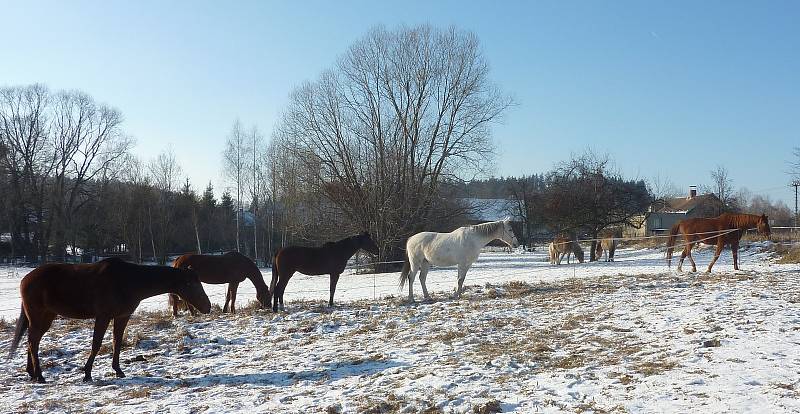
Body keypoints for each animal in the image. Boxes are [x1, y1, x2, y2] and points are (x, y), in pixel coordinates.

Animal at [7, 258, 211, 384]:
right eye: (190, 284)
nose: (207, 306)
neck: (128, 281)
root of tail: (26, 279)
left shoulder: (122, 317)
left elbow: (117, 342)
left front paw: (118, 370)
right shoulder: (103, 316)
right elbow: (96, 344)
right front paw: (87, 373)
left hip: (46, 317)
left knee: (32, 341)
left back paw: (32, 373)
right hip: (38, 316)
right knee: (33, 342)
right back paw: (40, 376)